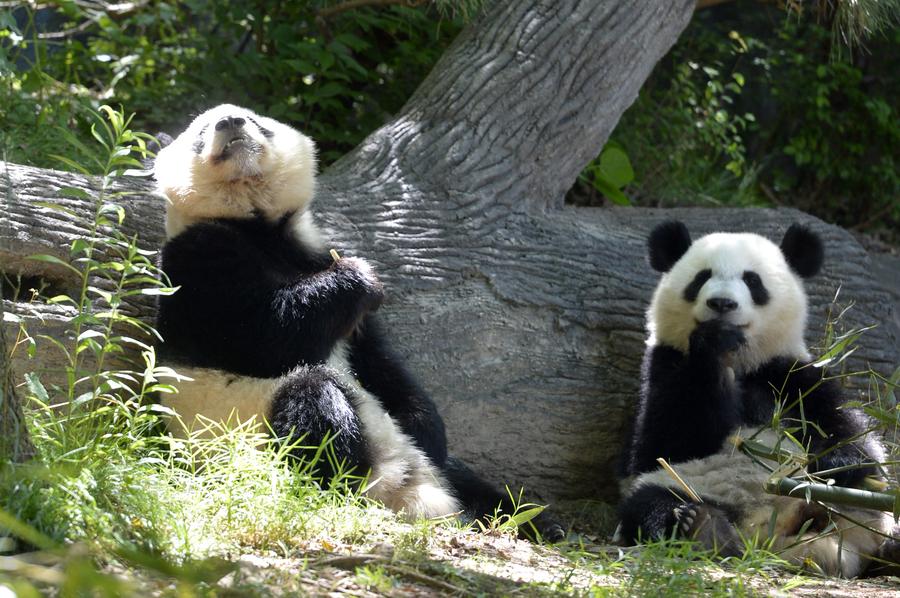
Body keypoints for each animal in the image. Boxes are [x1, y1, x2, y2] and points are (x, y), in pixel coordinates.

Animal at [155, 102, 564, 540]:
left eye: (256, 121)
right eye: (201, 132)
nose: (230, 122)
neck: (260, 228)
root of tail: (413, 492)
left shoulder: (316, 259)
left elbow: (381, 363)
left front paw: (428, 426)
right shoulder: (195, 260)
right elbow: (259, 337)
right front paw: (358, 277)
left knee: (463, 475)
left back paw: (533, 520)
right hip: (245, 433)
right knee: (313, 404)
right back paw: (343, 486)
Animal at [616, 223, 896, 580]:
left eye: (752, 280)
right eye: (701, 278)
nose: (722, 303)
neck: (741, 361)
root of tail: (768, 535)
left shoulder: (790, 374)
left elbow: (847, 431)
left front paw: (836, 464)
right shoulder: (663, 366)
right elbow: (665, 440)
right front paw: (713, 341)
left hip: (861, 507)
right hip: (684, 485)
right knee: (652, 504)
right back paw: (703, 528)